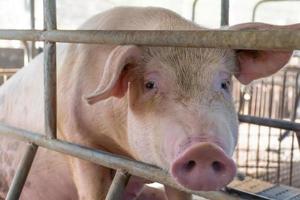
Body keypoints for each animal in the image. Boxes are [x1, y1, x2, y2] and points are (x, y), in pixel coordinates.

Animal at [0, 6, 296, 200]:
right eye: (150, 84)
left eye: (224, 83)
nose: (204, 149)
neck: (125, 155)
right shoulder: (75, 139)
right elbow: (93, 190)